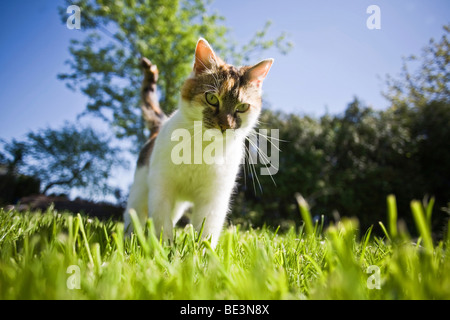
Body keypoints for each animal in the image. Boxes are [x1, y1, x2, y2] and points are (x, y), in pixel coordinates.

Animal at [124, 38, 274, 248]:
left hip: (178, 205)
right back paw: (128, 239)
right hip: (141, 189)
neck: (204, 148)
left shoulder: (214, 197)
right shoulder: (161, 186)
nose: (225, 125)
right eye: (211, 98)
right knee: (134, 215)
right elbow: (162, 222)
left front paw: (202, 254)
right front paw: (165, 248)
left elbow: (207, 230)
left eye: (242, 107)